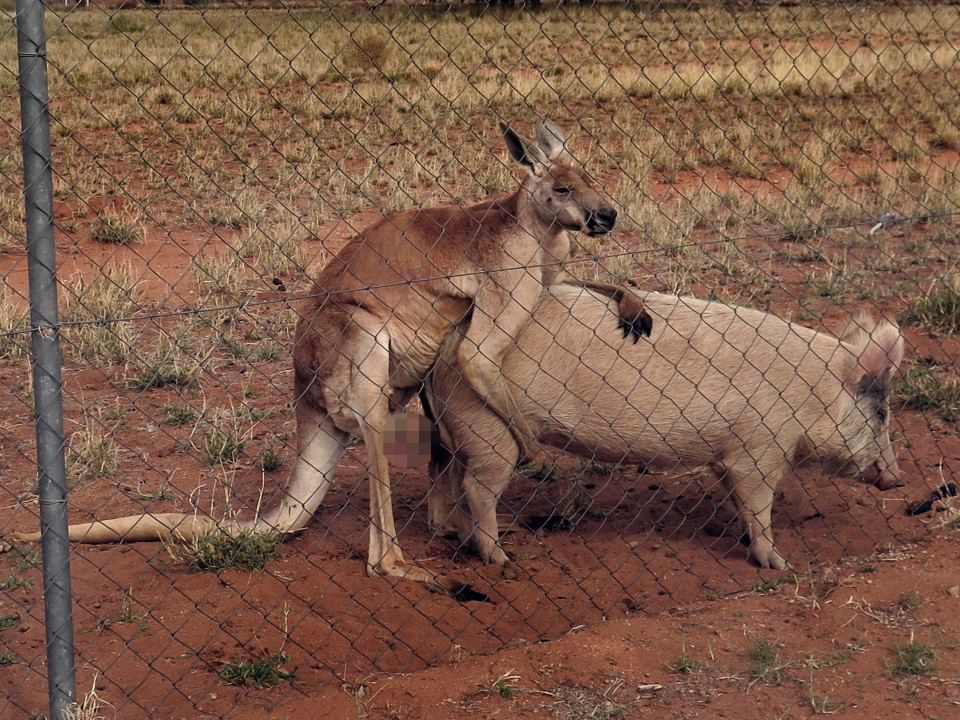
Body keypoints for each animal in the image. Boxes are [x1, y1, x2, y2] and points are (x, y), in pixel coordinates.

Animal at [424, 284, 904, 572]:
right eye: (882, 414)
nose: (897, 479)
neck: (814, 393)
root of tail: (448, 347)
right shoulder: (761, 447)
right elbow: (759, 504)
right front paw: (779, 564)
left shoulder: (729, 456)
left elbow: (738, 499)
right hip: (492, 430)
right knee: (477, 489)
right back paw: (500, 558)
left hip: (459, 430)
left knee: (449, 482)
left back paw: (467, 538)